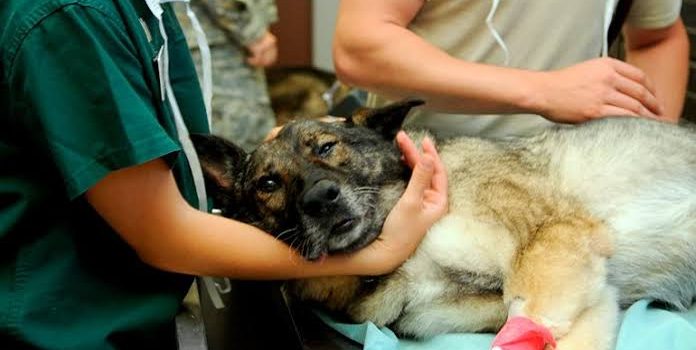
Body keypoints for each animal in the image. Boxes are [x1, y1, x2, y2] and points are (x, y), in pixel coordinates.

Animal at [190, 99, 696, 350]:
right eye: (268, 183)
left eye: (327, 147)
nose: (320, 199)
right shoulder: (587, 293)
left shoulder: (552, 240)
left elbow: (531, 312)